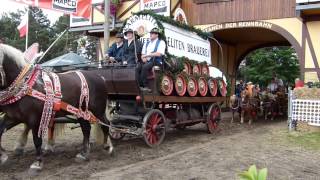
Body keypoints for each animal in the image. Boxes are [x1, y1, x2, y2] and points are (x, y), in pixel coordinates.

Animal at [0, 43, 112, 173]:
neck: (26, 85)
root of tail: (100, 77)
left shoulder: (35, 119)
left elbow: (37, 139)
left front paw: (38, 162)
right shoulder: (13, 117)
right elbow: (0, 130)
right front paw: (2, 156)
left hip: (98, 109)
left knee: (105, 124)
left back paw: (107, 146)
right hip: (81, 111)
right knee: (86, 129)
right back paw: (84, 153)